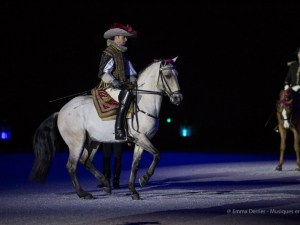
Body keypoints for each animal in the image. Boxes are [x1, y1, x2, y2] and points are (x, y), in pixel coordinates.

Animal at [29, 57, 183, 200]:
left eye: (177, 74)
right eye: (168, 75)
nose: (178, 98)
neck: (144, 103)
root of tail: (61, 111)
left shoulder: (141, 140)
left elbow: (135, 165)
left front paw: (133, 190)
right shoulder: (141, 138)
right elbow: (157, 155)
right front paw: (144, 179)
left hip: (93, 141)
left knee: (86, 161)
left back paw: (106, 185)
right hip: (76, 142)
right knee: (72, 166)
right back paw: (83, 193)